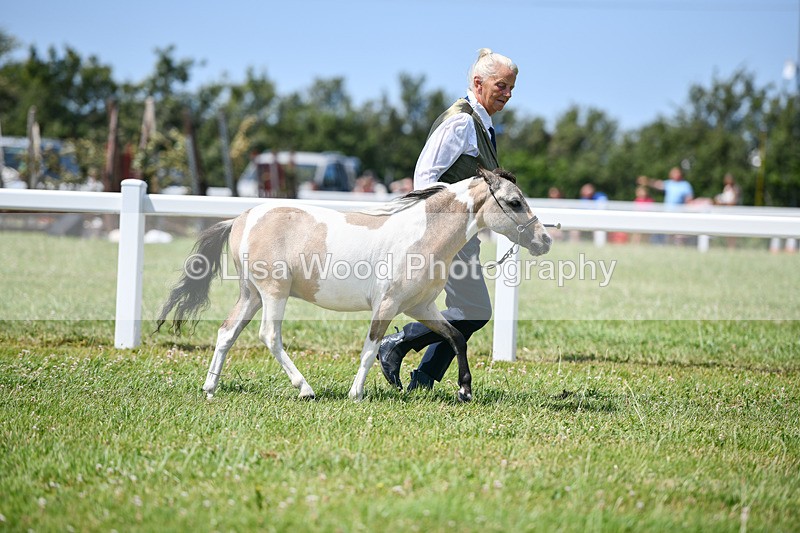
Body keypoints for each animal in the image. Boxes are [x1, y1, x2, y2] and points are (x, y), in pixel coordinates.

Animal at [156, 167, 552, 402]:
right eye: (515, 202)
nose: (544, 241)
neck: (421, 236)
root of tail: (241, 218)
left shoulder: (420, 306)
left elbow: (455, 336)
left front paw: (465, 390)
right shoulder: (387, 305)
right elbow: (369, 348)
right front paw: (356, 393)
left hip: (250, 295)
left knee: (227, 332)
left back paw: (210, 388)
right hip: (273, 293)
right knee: (269, 337)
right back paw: (305, 389)